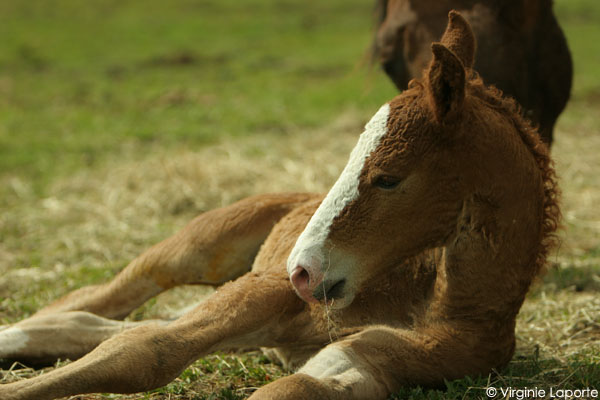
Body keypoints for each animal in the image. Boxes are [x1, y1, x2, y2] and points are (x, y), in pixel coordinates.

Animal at [2, 10, 560, 398]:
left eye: (387, 178)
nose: (303, 270)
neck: (433, 296)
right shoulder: (262, 292)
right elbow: (140, 351)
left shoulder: (374, 361)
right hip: (198, 250)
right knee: (96, 302)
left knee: (96, 323)